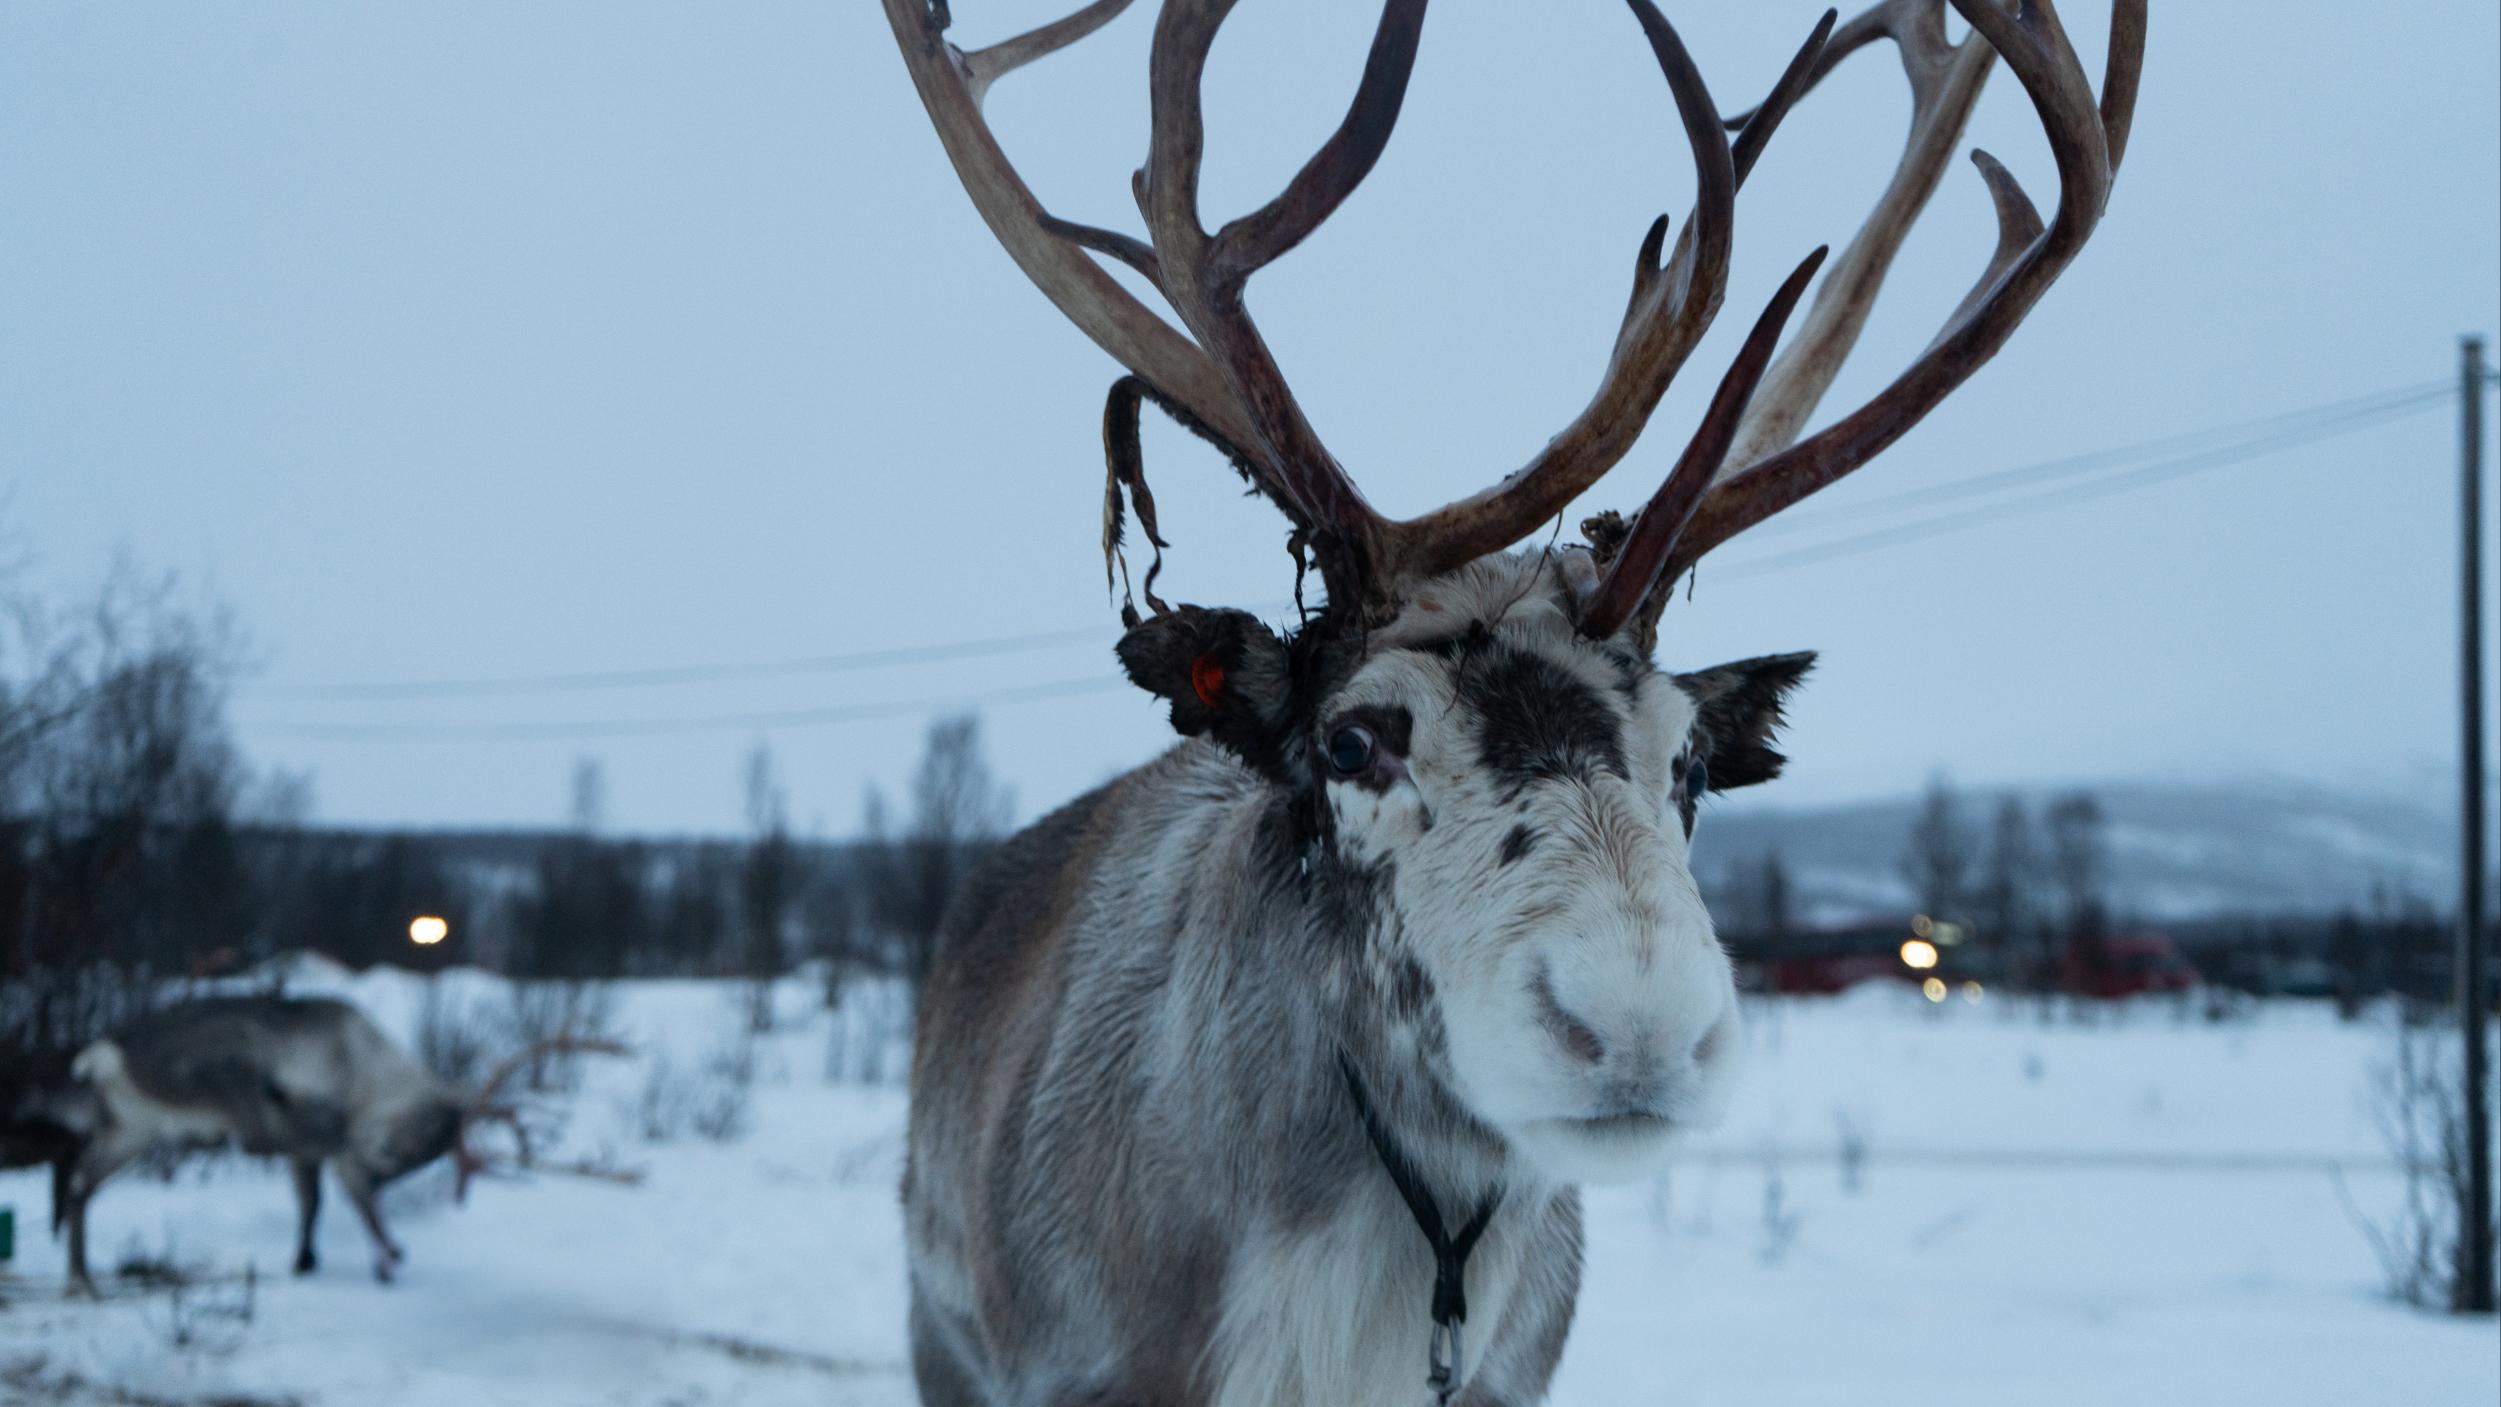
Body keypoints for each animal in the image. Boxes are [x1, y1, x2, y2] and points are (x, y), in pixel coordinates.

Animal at [1, 995, 617, 1295]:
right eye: (394, 1150)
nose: (393, 1253)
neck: (368, 1073)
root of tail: (99, 1055)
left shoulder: (309, 1154)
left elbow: (310, 1201)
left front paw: (306, 1260)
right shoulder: (316, 1136)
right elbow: (325, 1176)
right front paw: (370, 1254)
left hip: (134, 1130)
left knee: (78, 1181)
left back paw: (81, 1276)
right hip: (165, 1115)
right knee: (79, 1179)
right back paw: (80, 1280)